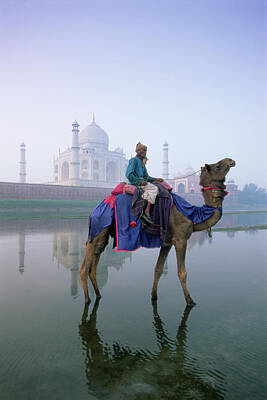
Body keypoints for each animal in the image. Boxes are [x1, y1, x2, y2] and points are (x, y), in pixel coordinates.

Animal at [79, 157, 237, 306]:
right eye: (218, 166)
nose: (231, 160)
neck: (192, 214)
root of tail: (94, 210)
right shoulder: (180, 239)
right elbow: (182, 272)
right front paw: (190, 301)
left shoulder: (167, 242)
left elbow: (158, 269)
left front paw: (154, 296)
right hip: (99, 225)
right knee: (84, 267)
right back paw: (87, 299)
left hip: (103, 231)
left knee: (95, 258)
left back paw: (98, 295)